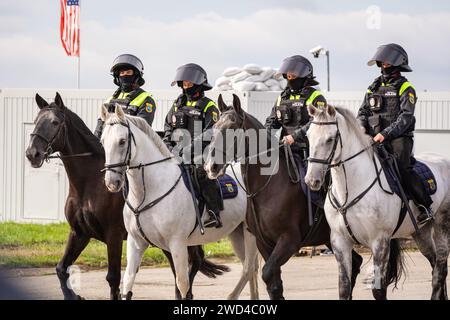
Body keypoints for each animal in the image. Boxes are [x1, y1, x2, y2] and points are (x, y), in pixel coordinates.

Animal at [25, 92, 229, 300]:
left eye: (55, 122)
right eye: (35, 120)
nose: (32, 154)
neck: (89, 184)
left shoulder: (113, 235)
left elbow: (113, 278)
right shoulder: (79, 233)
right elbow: (61, 269)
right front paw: (74, 295)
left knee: (191, 264)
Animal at [100, 105, 258, 300]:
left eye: (122, 141)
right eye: (103, 142)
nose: (111, 182)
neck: (149, 192)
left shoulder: (177, 244)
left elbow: (182, 285)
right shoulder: (136, 242)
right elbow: (128, 282)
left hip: (250, 233)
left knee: (249, 267)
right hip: (236, 233)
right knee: (252, 268)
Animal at [206, 94, 364, 300]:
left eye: (231, 129)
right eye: (215, 128)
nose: (211, 167)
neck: (267, 186)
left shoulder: (289, 241)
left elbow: (267, 273)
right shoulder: (264, 243)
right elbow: (274, 284)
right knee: (355, 263)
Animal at [304, 104, 448, 300]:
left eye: (330, 139)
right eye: (308, 136)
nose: (312, 180)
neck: (349, 190)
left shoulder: (380, 241)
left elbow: (378, 290)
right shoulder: (340, 242)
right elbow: (344, 287)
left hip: (441, 226)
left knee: (440, 267)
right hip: (421, 232)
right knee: (435, 264)